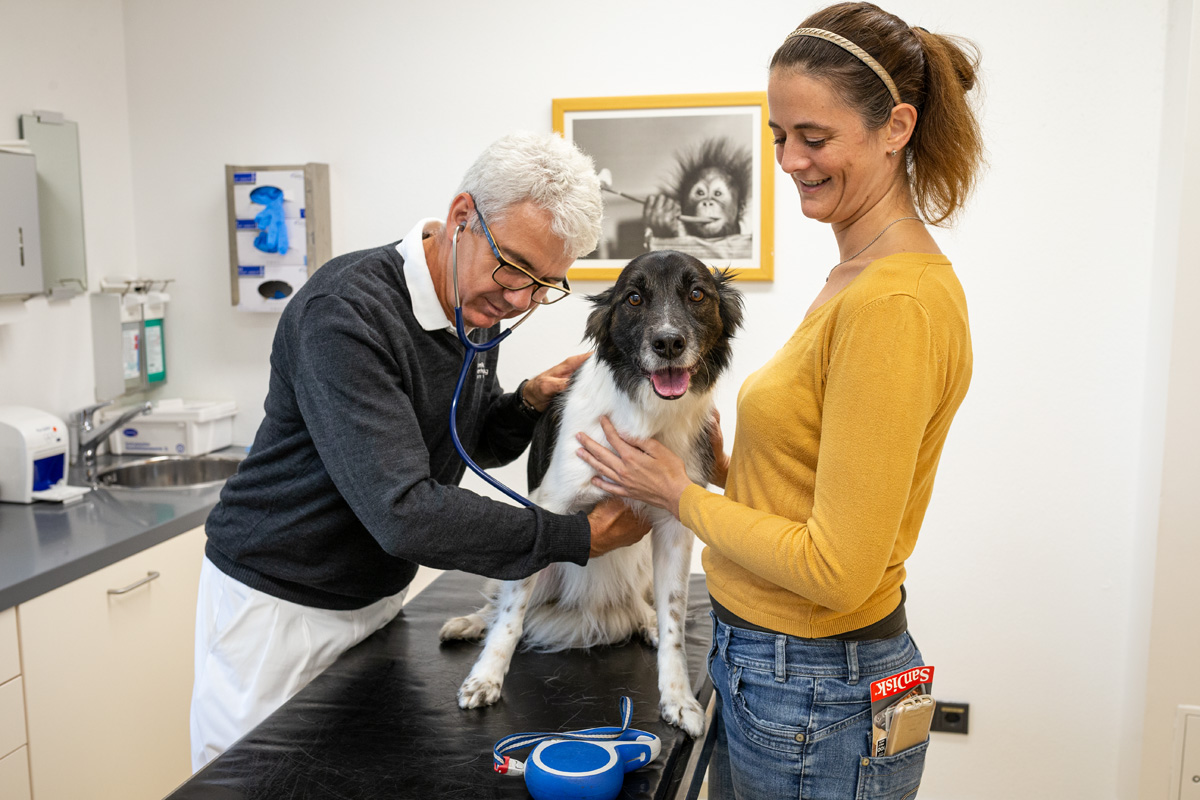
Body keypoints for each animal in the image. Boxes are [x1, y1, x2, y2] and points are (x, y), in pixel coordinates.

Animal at [436, 250, 744, 738]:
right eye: (633, 298)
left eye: (697, 294)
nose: (668, 343)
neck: (646, 412)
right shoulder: (547, 513)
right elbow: (511, 615)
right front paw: (486, 676)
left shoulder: (674, 528)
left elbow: (674, 620)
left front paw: (677, 698)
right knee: (500, 603)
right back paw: (468, 624)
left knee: (640, 601)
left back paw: (643, 620)